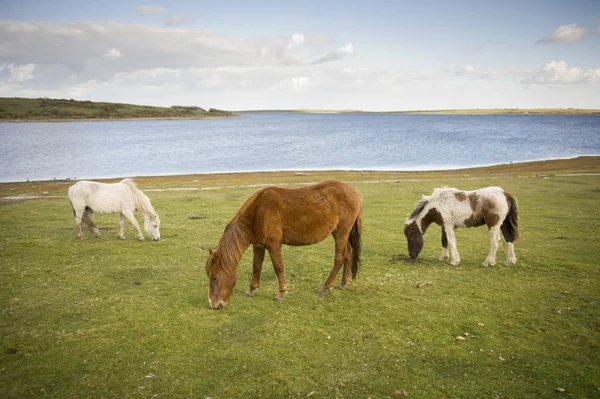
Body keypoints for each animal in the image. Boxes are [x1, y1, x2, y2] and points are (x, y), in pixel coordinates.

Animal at [206, 180, 364, 310]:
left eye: (214, 277)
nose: (214, 305)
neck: (258, 212)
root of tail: (355, 192)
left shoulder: (274, 245)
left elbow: (278, 268)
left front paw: (281, 294)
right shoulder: (258, 245)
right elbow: (256, 267)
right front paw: (251, 290)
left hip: (341, 232)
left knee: (339, 259)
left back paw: (325, 288)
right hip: (343, 233)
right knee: (348, 253)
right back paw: (344, 283)